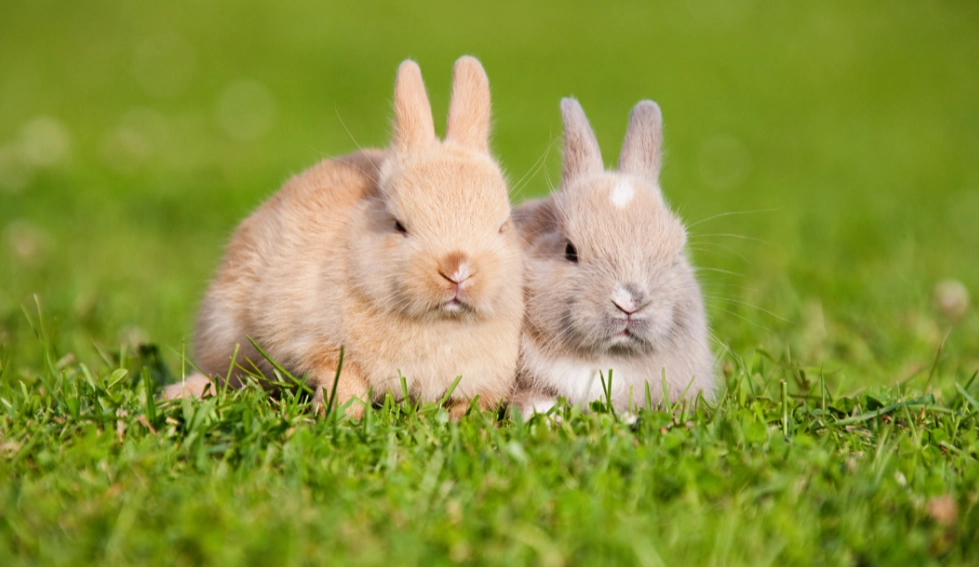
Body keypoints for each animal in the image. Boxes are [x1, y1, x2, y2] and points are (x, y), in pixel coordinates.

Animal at [163, 57, 525, 419]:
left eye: (501, 226)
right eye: (398, 225)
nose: (457, 269)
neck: (440, 323)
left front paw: (461, 419)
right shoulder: (319, 347)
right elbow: (344, 381)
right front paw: (338, 414)